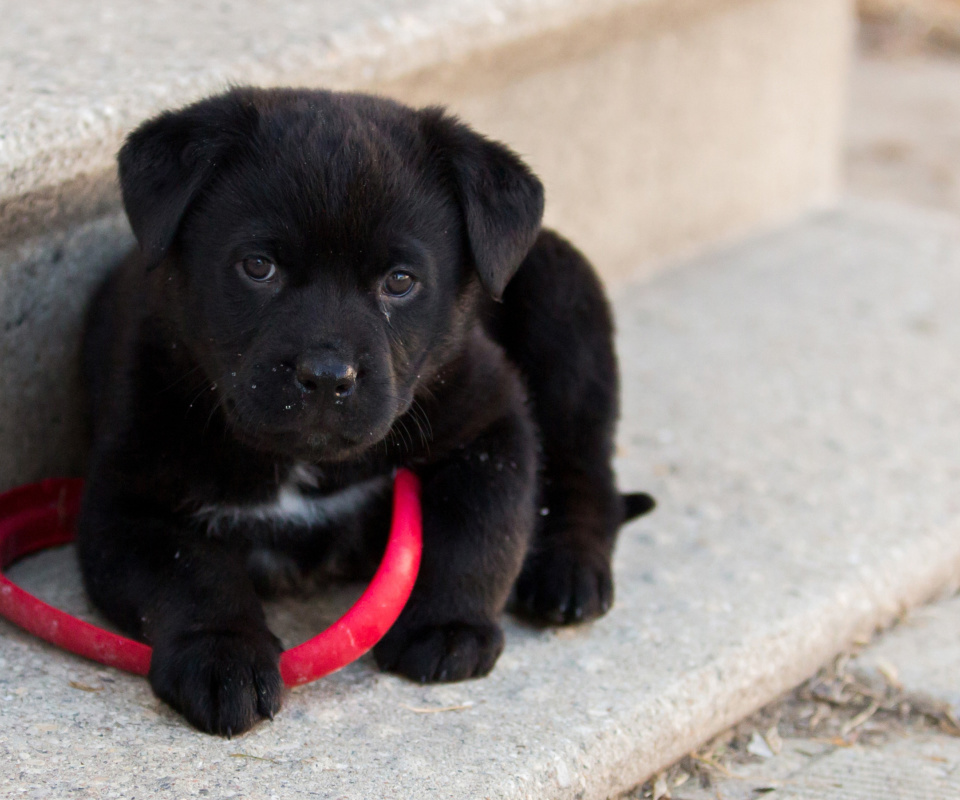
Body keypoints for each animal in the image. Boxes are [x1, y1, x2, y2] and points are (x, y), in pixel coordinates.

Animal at [79, 86, 656, 732]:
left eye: (399, 281)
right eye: (258, 267)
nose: (328, 376)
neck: (304, 465)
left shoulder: (491, 417)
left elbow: (480, 526)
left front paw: (446, 626)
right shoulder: (129, 506)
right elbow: (192, 576)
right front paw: (222, 654)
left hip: (566, 307)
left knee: (586, 466)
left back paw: (569, 568)